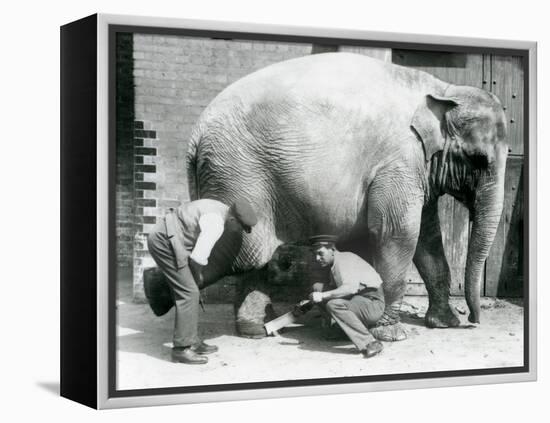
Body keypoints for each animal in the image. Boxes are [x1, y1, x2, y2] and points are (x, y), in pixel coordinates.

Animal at [185, 52, 508, 342]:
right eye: (479, 160)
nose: (472, 320)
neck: (444, 89)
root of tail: (195, 135)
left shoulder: (416, 168)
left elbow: (427, 239)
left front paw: (443, 324)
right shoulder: (399, 162)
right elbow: (398, 233)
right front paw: (391, 334)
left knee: (254, 256)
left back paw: (257, 328)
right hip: (237, 173)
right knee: (245, 251)